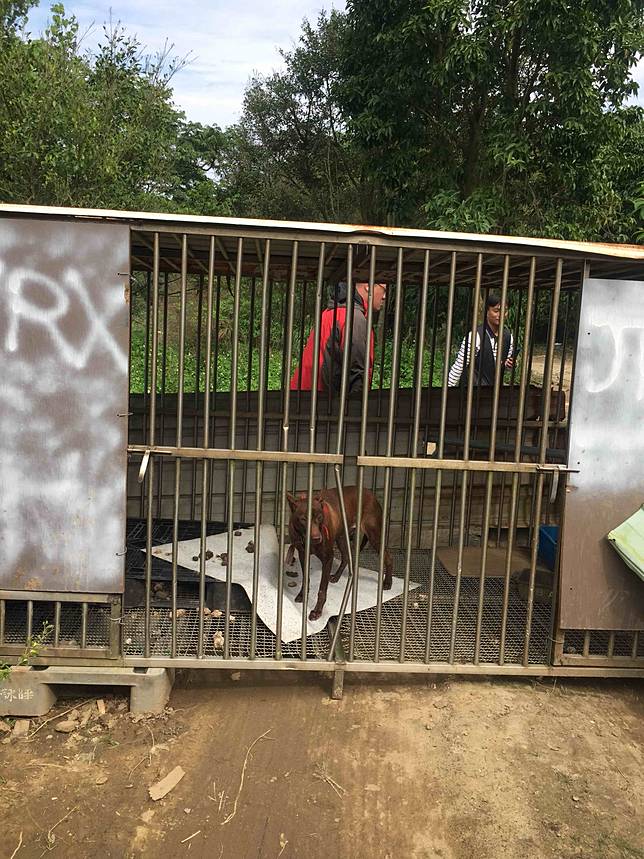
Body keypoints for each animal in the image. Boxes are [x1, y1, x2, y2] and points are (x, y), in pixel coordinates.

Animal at [286, 488, 392, 620]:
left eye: (319, 517)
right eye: (303, 519)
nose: (317, 538)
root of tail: (371, 494)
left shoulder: (328, 558)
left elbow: (322, 589)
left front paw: (317, 611)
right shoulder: (302, 555)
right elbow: (306, 579)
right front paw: (302, 595)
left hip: (374, 536)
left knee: (388, 557)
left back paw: (387, 582)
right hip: (341, 536)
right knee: (346, 557)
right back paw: (336, 576)